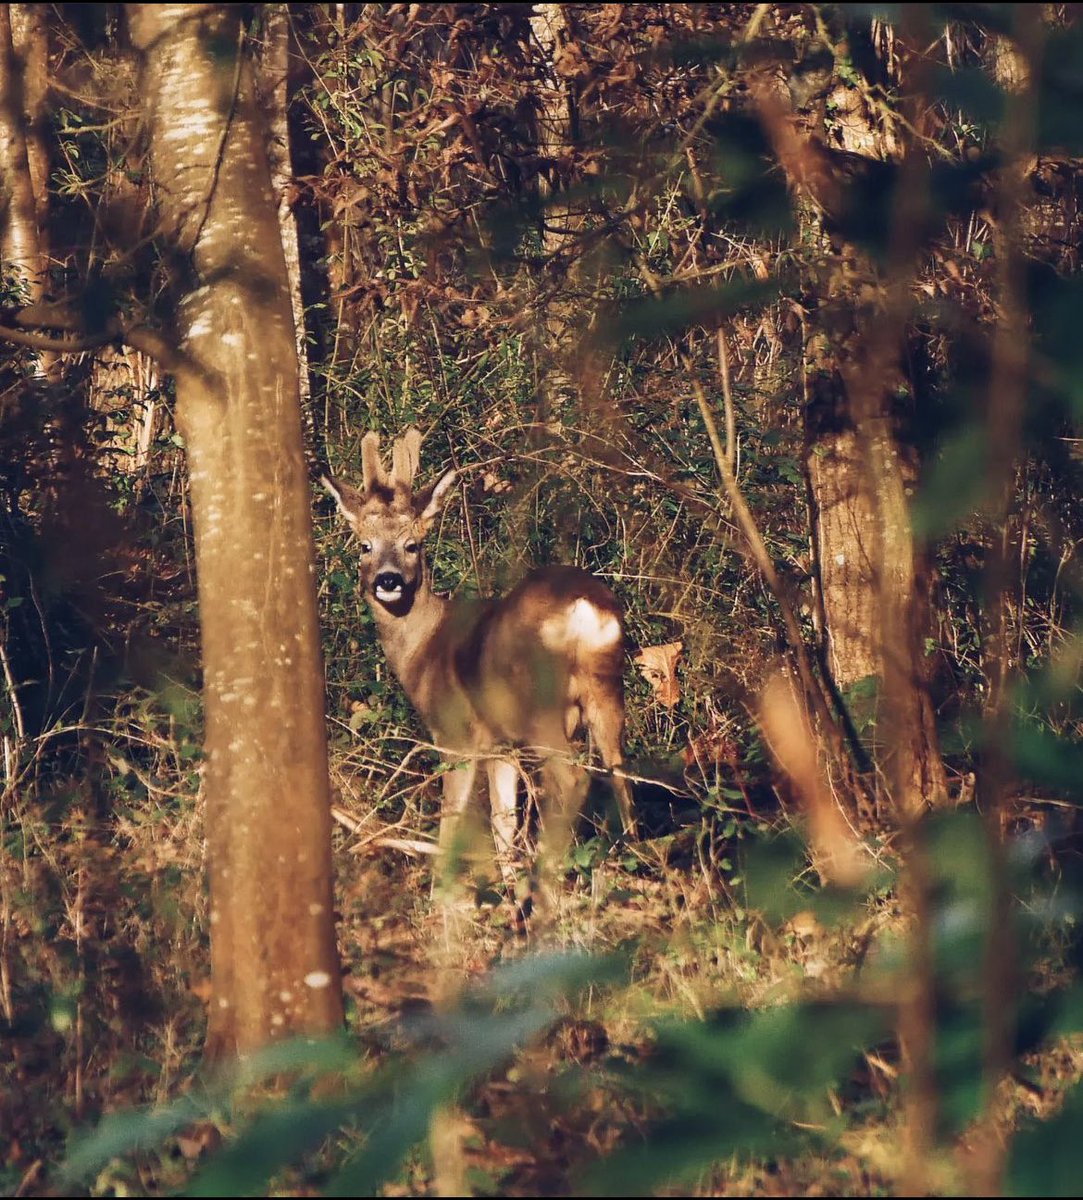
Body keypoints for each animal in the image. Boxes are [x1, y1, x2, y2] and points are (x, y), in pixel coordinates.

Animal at [321, 427, 633, 888]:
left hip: (540, 706)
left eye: (412, 545)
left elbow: (452, 819)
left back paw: (550, 870)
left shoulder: (456, 735)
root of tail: (583, 607)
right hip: (606, 688)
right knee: (619, 775)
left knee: (574, 778)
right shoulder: (500, 746)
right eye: (365, 546)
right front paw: (506, 885)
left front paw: (441, 891)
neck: (423, 648)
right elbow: (503, 823)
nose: (388, 580)